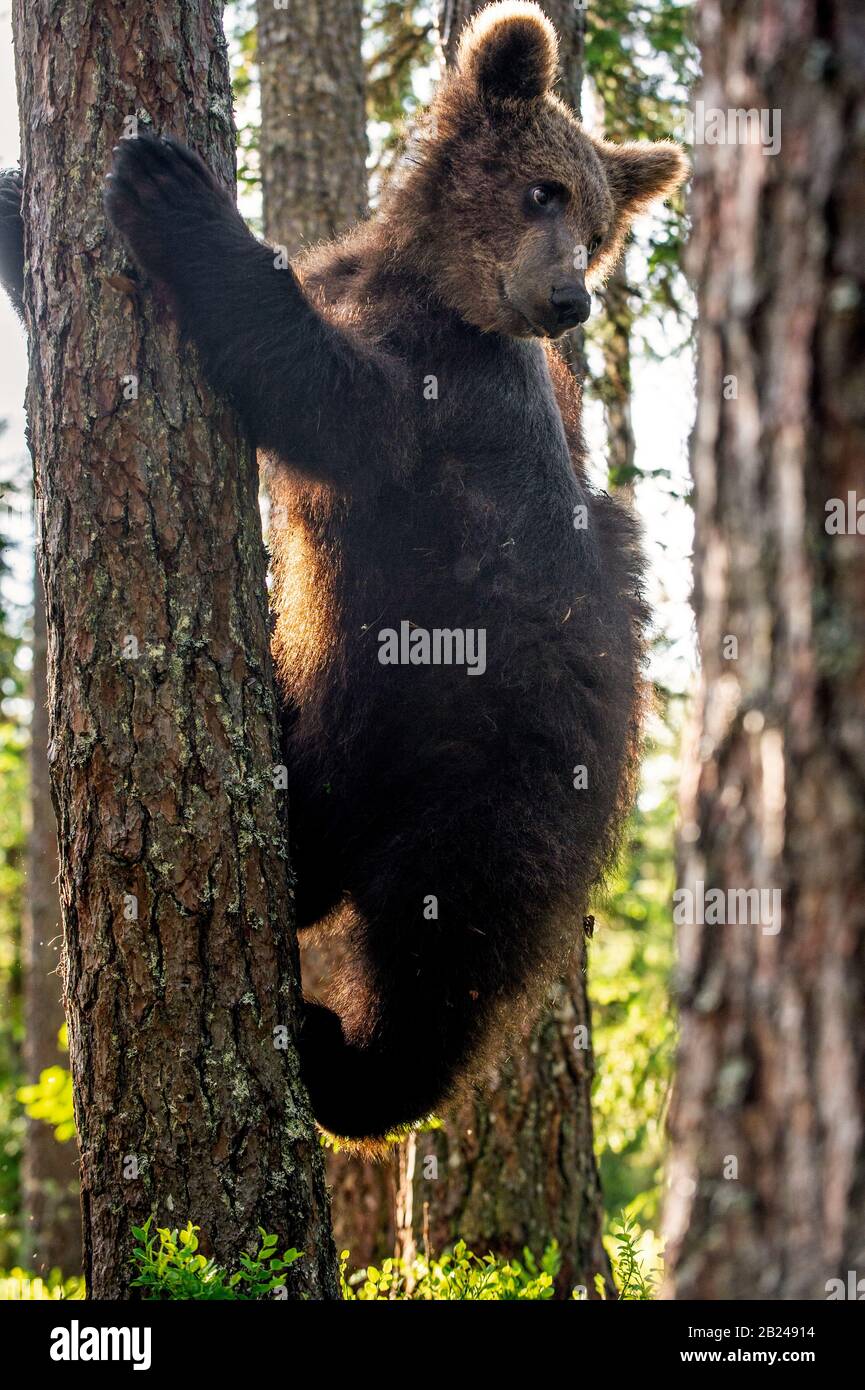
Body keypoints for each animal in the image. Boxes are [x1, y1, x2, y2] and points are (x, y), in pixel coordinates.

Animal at [0, 2, 686, 1143]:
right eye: (545, 193)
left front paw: (167, 186)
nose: (569, 299)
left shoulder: (441, 407)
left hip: (474, 748)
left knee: (441, 946)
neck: (434, 292)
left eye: (597, 229)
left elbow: (319, 396)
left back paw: (346, 1059)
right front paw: (16, 202)